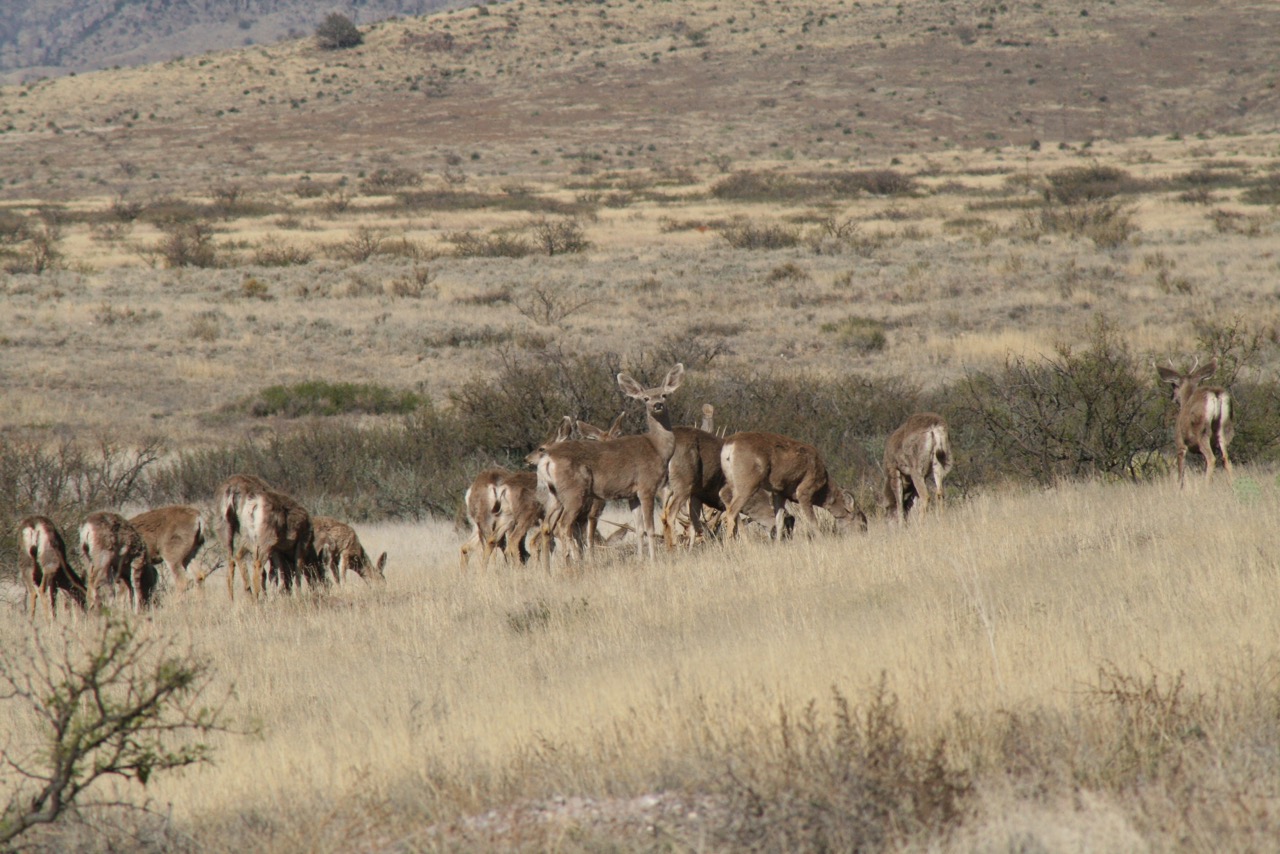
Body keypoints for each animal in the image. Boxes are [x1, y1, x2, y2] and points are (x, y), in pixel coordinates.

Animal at [537, 363, 685, 560]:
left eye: (664, 395)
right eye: (646, 398)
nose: (657, 405)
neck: (657, 448)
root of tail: (547, 458)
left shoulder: (631, 494)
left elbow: (639, 529)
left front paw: (640, 559)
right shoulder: (646, 486)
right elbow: (650, 528)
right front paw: (654, 560)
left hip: (554, 494)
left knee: (547, 526)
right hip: (573, 491)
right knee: (563, 525)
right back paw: (576, 562)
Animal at [719, 431, 863, 539]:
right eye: (862, 523)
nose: (861, 537)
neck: (823, 486)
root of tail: (729, 446)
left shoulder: (779, 493)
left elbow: (779, 521)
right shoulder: (804, 492)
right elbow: (813, 522)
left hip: (732, 481)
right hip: (747, 483)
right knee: (732, 511)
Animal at [1156, 358, 1234, 488]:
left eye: (1173, 385)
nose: (1172, 397)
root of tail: (1215, 394)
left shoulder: (1180, 443)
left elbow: (1180, 474)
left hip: (1202, 432)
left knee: (1212, 459)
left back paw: (1206, 487)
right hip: (1224, 430)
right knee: (1226, 459)